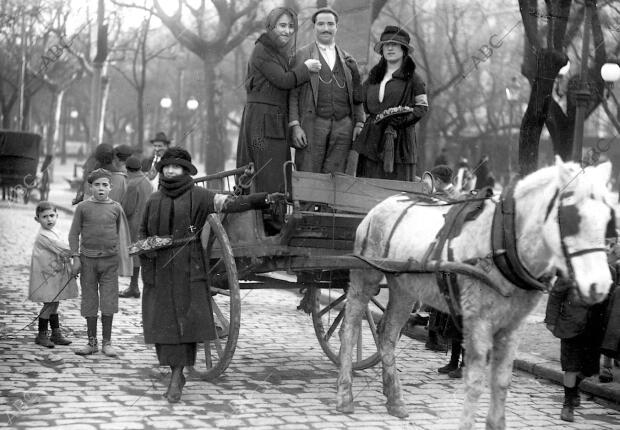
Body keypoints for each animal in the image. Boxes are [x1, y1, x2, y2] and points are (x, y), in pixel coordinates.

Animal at [336, 158, 612, 430]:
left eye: (607, 220)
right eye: (573, 218)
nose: (600, 285)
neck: (504, 243)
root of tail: (378, 207)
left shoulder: (513, 326)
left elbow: (501, 382)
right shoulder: (478, 321)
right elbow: (475, 382)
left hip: (404, 289)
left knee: (387, 335)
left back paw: (394, 400)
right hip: (365, 277)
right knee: (349, 329)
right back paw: (345, 395)